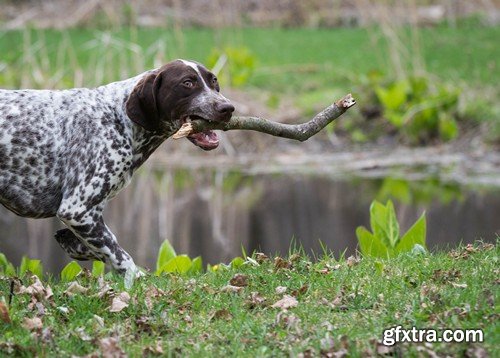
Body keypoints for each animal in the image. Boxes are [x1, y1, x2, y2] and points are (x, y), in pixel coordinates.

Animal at [0, 60, 234, 276]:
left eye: (214, 81)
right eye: (187, 83)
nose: (228, 108)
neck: (119, 118)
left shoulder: (89, 216)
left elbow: (98, 246)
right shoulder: (78, 209)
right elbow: (120, 256)